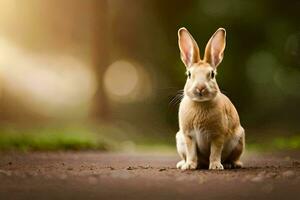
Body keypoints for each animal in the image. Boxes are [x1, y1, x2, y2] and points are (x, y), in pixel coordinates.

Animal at [176, 27, 244, 170]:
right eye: (189, 74)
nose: (200, 88)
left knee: (234, 157)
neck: (200, 103)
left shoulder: (217, 136)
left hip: (239, 140)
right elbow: (191, 152)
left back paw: (232, 164)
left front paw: (216, 166)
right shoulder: (188, 136)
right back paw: (182, 164)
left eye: (212, 74)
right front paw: (189, 166)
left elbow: (215, 151)